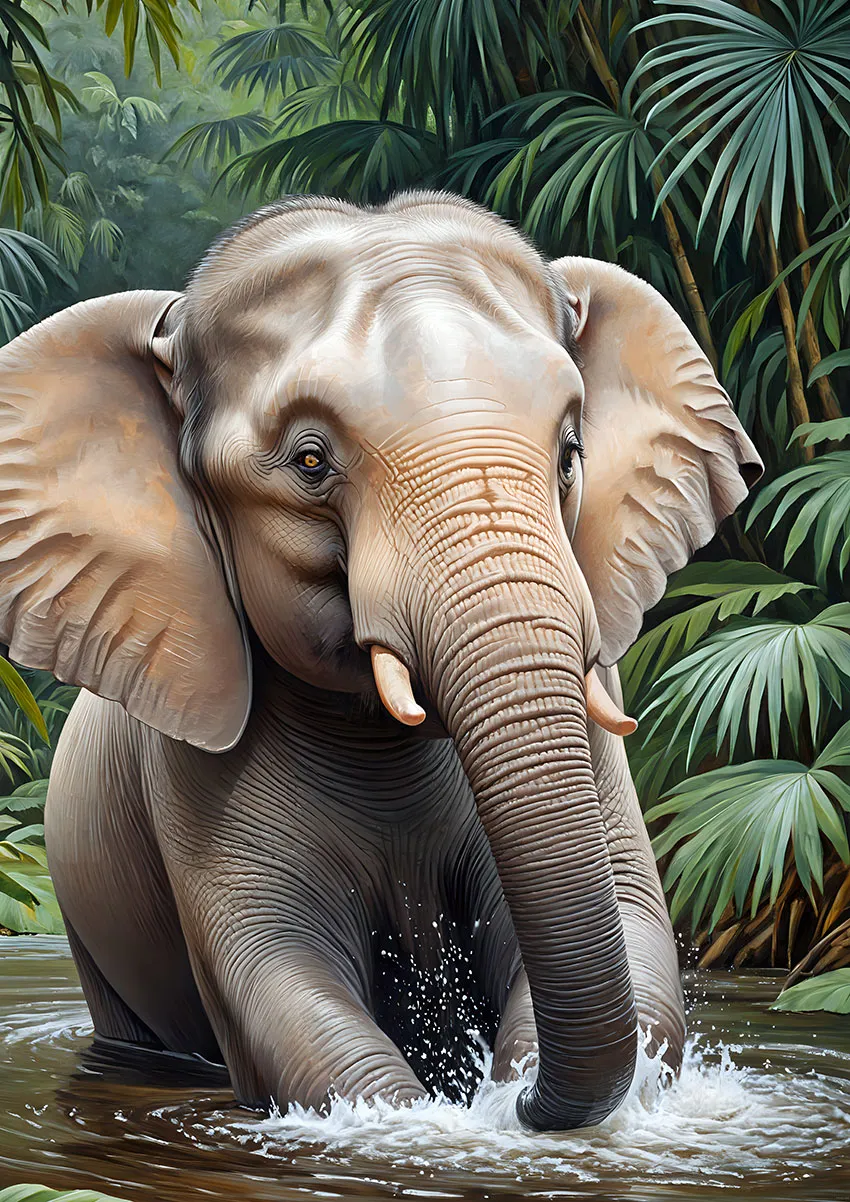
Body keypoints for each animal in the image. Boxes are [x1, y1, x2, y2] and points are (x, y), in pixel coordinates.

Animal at [0, 192, 762, 1132]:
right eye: (310, 461)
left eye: (570, 454)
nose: (515, 1102)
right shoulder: (187, 772)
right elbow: (277, 979)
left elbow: (630, 911)